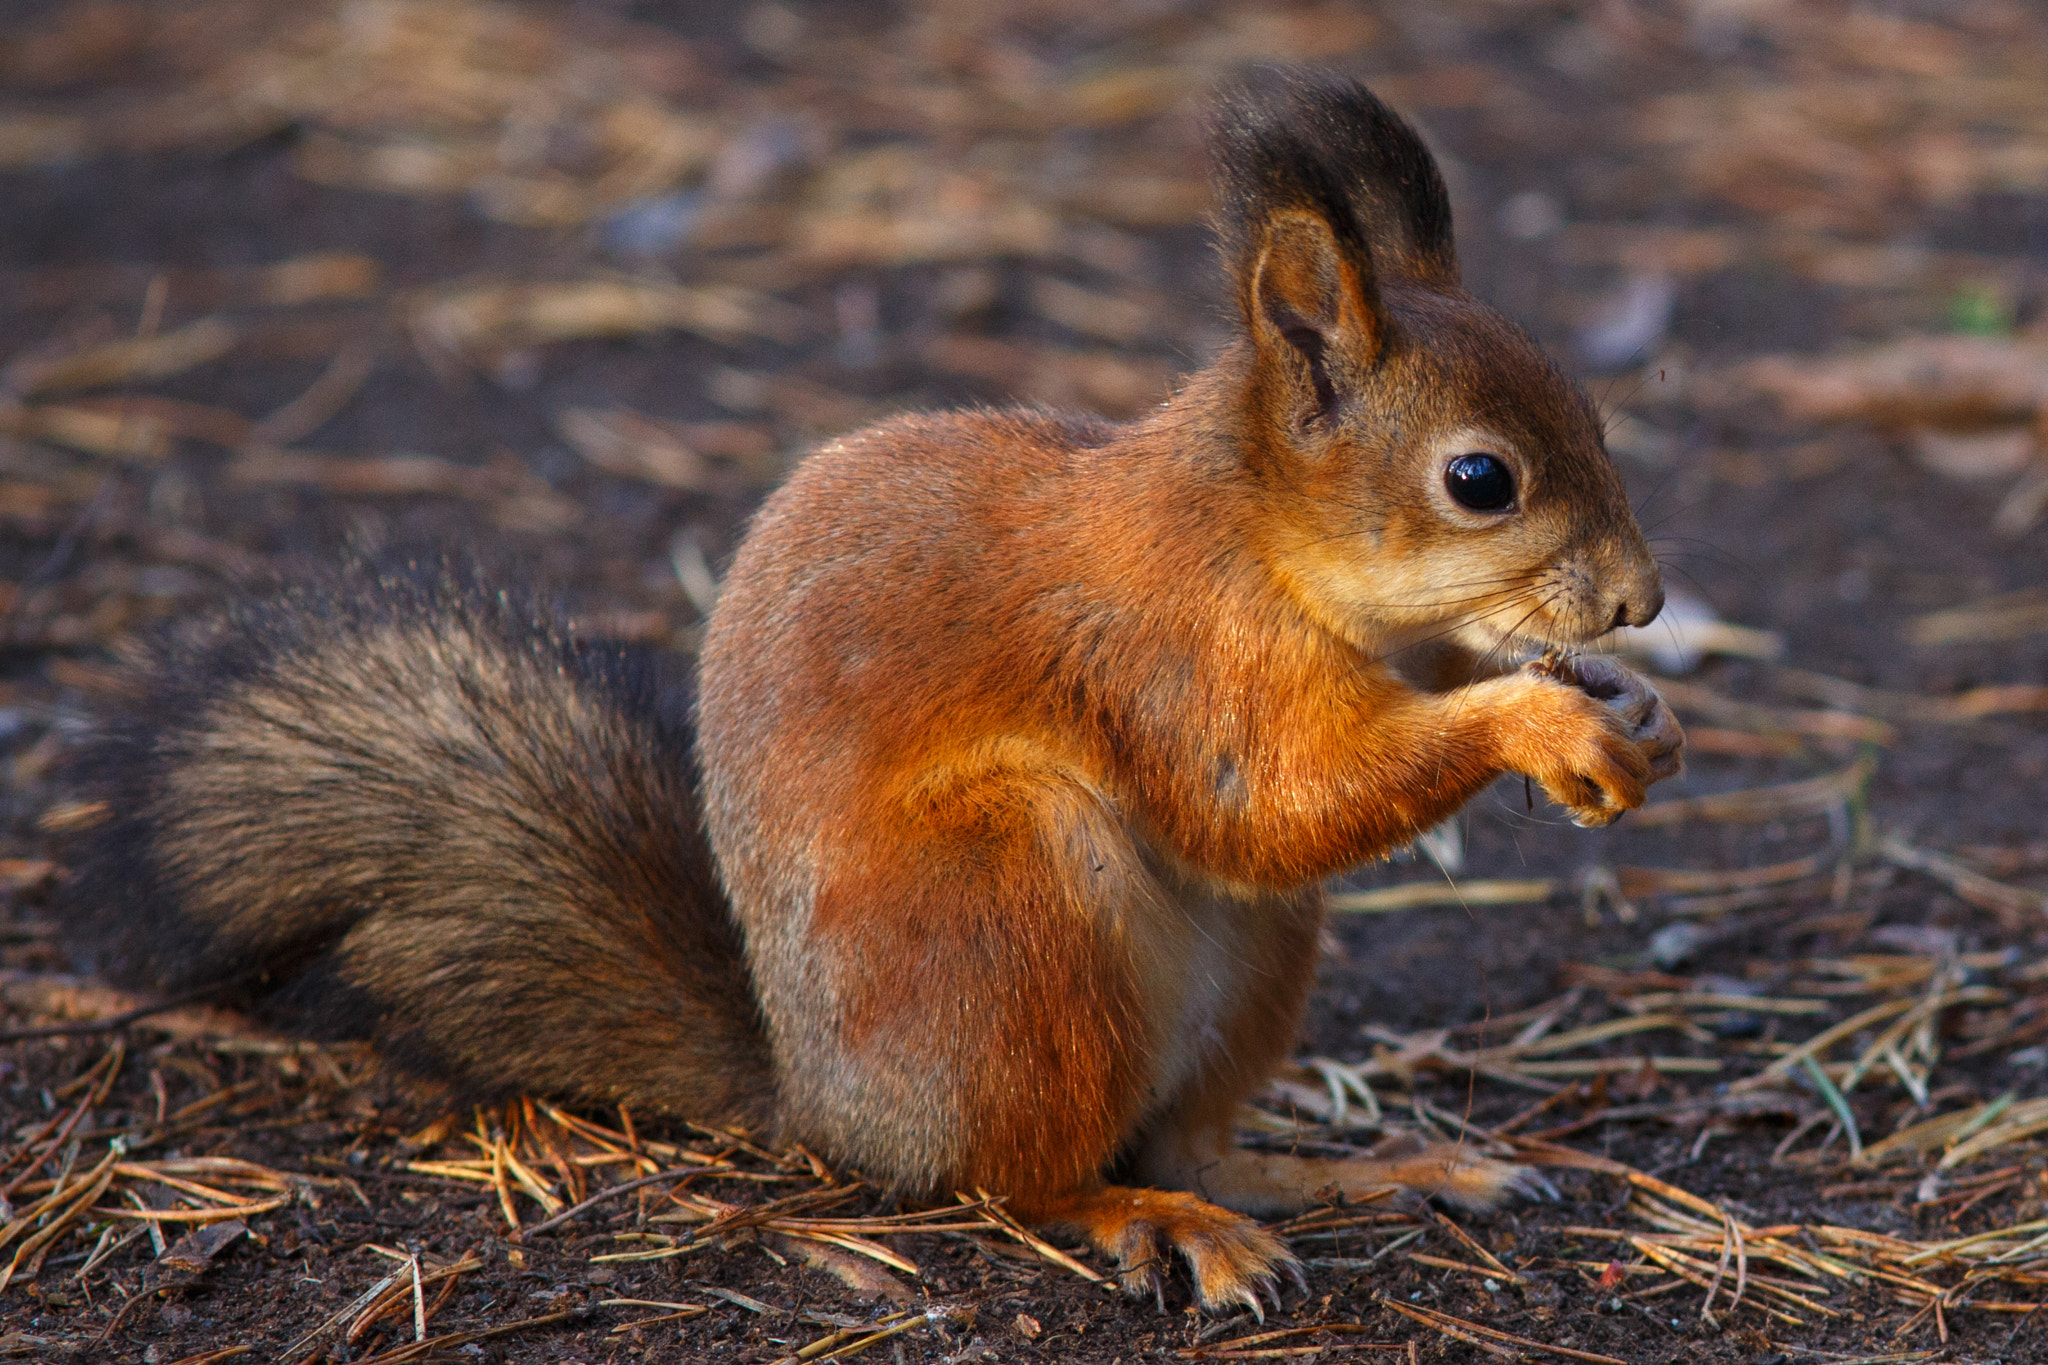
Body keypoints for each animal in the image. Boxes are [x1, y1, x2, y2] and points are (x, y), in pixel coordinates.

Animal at [64, 74, 1679, 1309]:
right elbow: (1267, 804)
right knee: (1026, 1179)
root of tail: (826, 1107)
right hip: (1009, 909)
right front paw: (1541, 722)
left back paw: (1367, 1166)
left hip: (1250, 961)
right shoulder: (1171, 652)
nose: (1642, 601)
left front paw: (1622, 703)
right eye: (1480, 481)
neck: (1264, 541)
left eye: (1598, 417)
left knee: (1190, 1135)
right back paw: (1151, 1224)